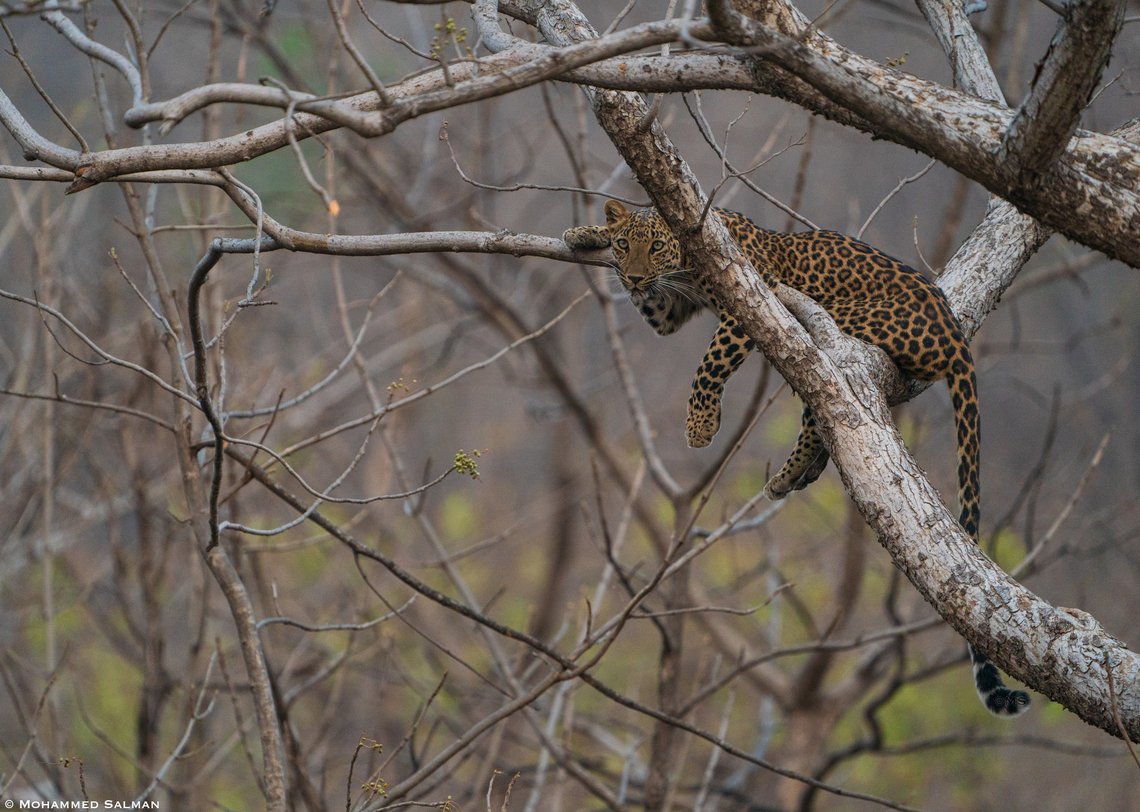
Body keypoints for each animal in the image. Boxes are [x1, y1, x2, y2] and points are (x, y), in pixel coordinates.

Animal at [564, 200, 1030, 718]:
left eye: (657, 247)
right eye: (628, 246)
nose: (633, 278)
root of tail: (955, 334)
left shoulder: (749, 298)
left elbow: (709, 366)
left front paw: (701, 425)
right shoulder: (669, 308)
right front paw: (585, 232)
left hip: (836, 322)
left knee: (824, 397)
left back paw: (785, 477)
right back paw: (801, 475)